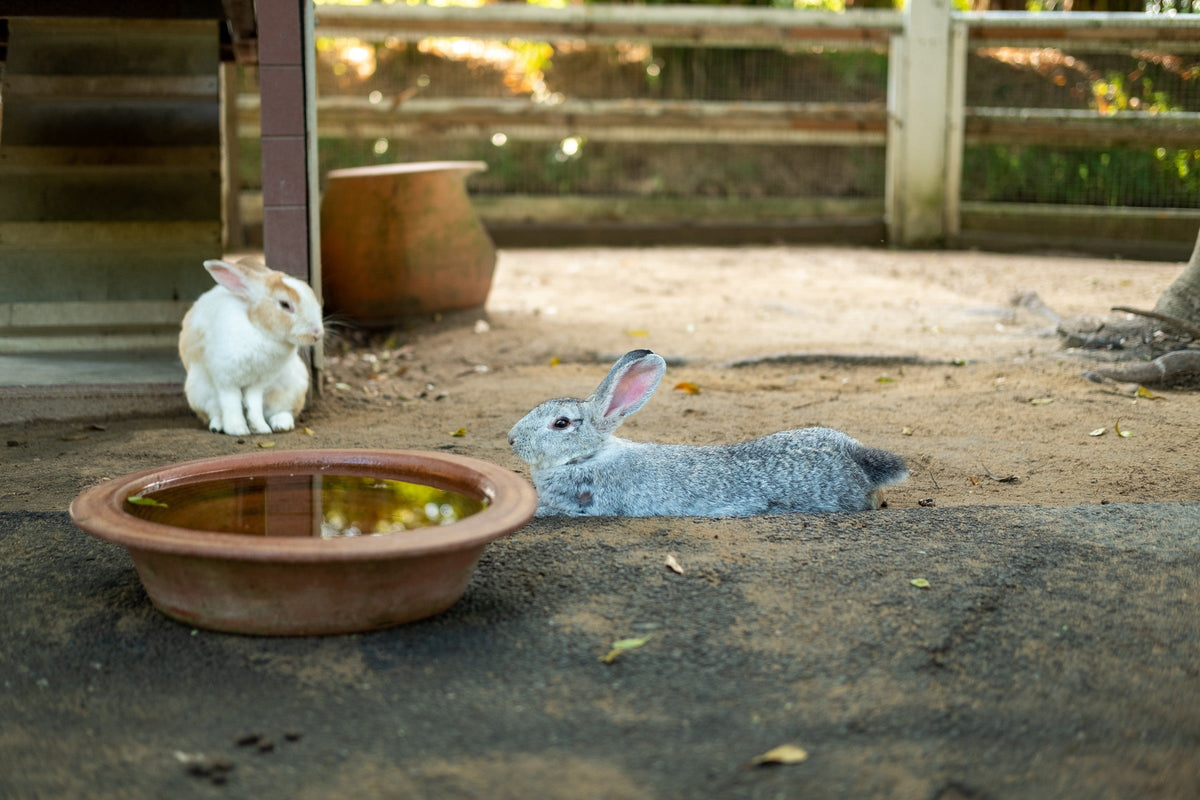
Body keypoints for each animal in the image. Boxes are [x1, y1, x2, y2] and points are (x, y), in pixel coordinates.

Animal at [179, 257, 324, 436]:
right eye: (285, 304)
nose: (317, 333)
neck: (259, 330)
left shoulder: (258, 383)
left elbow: (254, 405)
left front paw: (260, 428)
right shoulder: (226, 380)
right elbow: (231, 403)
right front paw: (237, 429)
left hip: (293, 386)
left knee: (283, 410)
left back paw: (281, 424)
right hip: (199, 392)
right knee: (214, 412)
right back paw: (217, 426)